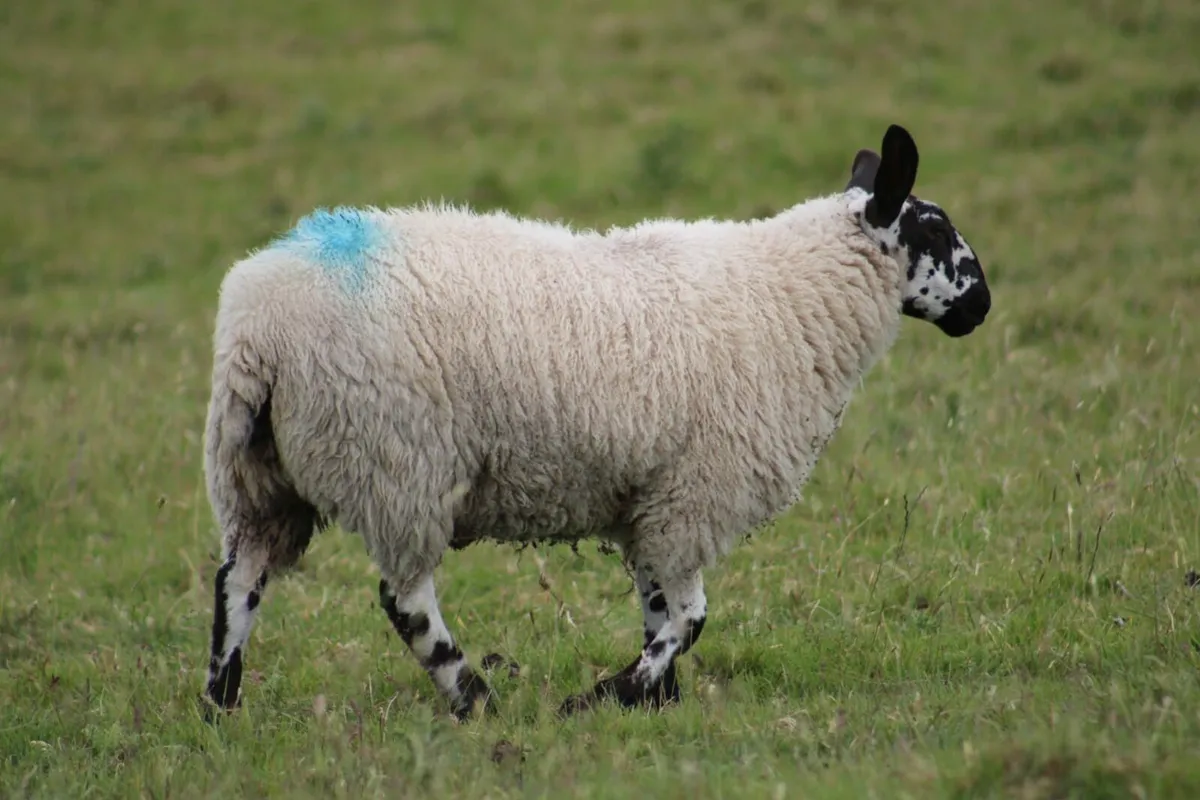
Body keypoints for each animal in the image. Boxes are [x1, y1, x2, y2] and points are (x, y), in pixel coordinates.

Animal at [200, 123, 991, 720]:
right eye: (933, 228)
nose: (981, 305)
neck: (790, 298)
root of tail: (258, 329)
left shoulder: (654, 497)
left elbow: (658, 609)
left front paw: (656, 703)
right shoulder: (694, 494)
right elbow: (691, 616)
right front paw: (609, 695)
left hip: (256, 473)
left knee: (239, 580)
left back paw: (220, 705)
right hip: (395, 461)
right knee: (405, 601)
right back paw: (475, 699)